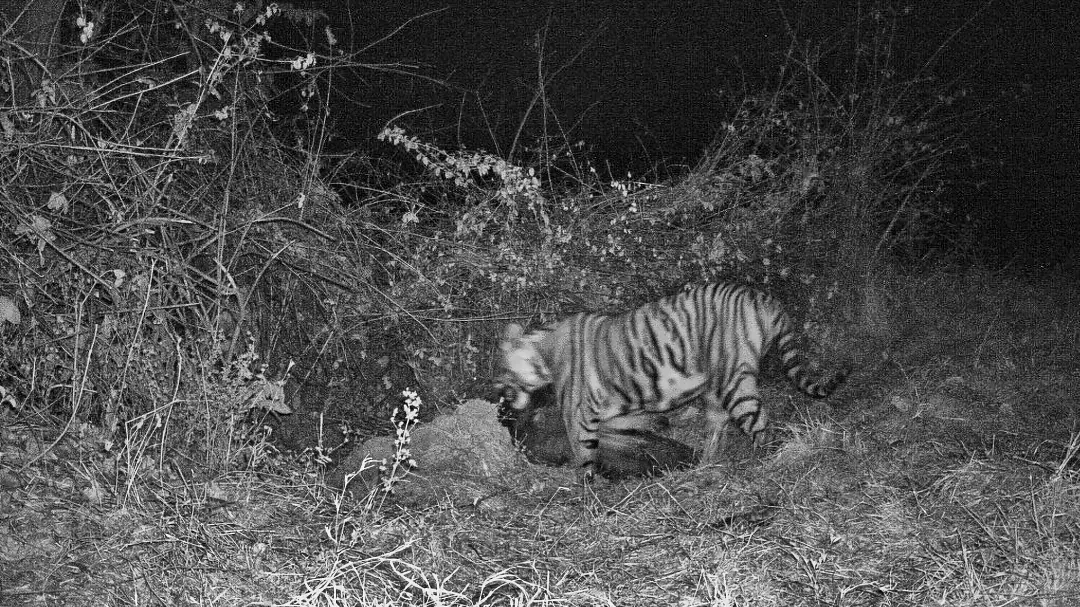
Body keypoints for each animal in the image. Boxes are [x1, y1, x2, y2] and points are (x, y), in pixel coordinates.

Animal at [495, 281, 847, 479]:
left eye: (504, 374)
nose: (500, 399)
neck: (543, 353)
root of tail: (763, 298)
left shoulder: (578, 416)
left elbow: (584, 458)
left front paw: (586, 490)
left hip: (734, 382)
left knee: (760, 424)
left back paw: (770, 463)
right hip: (714, 388)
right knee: (717, 426)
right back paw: (704, 464)